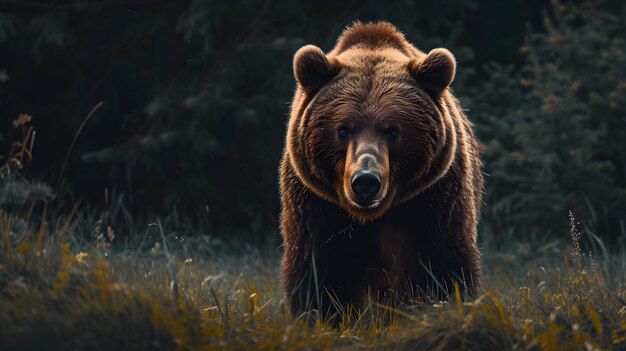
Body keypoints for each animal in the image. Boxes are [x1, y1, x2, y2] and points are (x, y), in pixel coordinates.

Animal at [280, 22, 482, 320]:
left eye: (392, 130)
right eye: (343, 129)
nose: (365, 181)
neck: (372, 217)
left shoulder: (436, 199)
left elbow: (444, 263)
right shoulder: (315, 205)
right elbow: (319, 272)